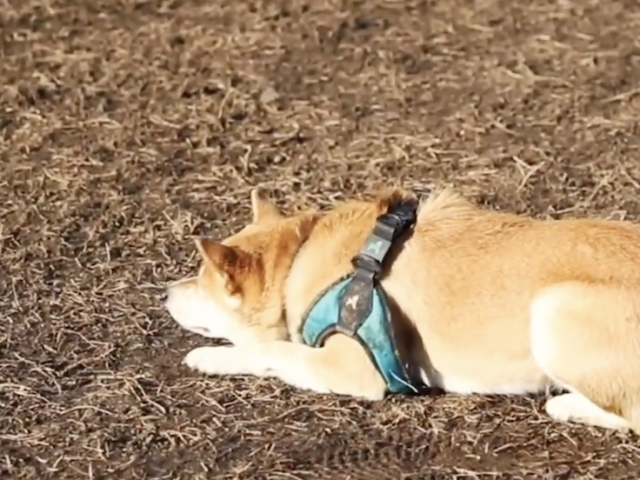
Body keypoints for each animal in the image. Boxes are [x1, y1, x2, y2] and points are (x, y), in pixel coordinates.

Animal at [161, 187, 640, 432]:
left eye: (201, 283)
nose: (164, 291)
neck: (302, 256)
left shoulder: (350, 369)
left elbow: (269, 351)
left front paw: (210, 358)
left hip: (551, 311)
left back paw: (567, 405)